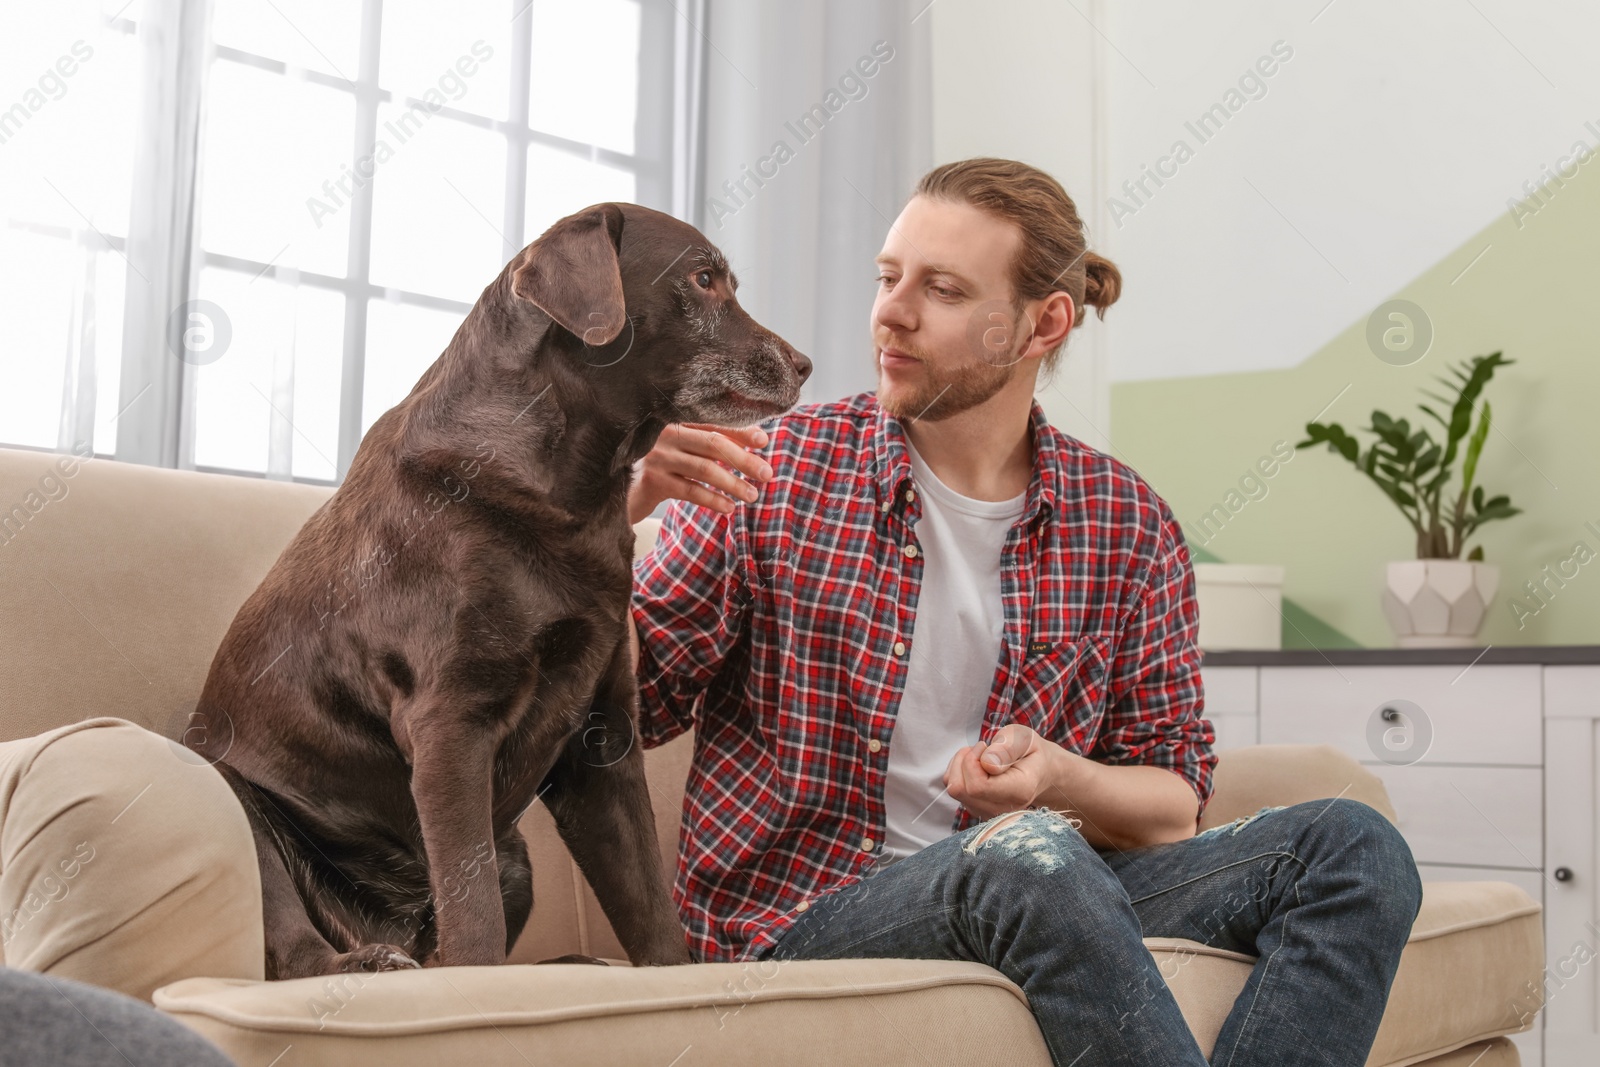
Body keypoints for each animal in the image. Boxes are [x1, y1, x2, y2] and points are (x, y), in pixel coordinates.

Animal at [188, 199, 812, 979]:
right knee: (299, 942)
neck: (571, 492)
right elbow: (474, 914)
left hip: (517, 853)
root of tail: (393, 926)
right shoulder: (450, 725)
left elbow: (650, 908)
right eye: (703, 279)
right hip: (238, 798)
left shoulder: (605, 742)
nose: (805, 365)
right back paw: (367, 966)